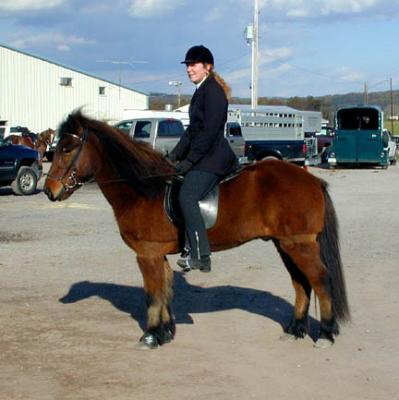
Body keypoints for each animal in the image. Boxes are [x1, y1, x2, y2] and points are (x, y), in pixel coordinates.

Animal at [43, 111, 350, 348]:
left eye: (67, 149)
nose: (49, 190)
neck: (144, 190)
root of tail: (313, 181)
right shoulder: (158, 255)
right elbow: (165, 290)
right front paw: (166, 332)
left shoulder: (147, 254)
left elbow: (152, 294)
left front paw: (151, 336)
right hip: (285, 243)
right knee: (301, 282)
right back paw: (295, 330)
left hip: (299, 243)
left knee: (320, 280)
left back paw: (325, 334)